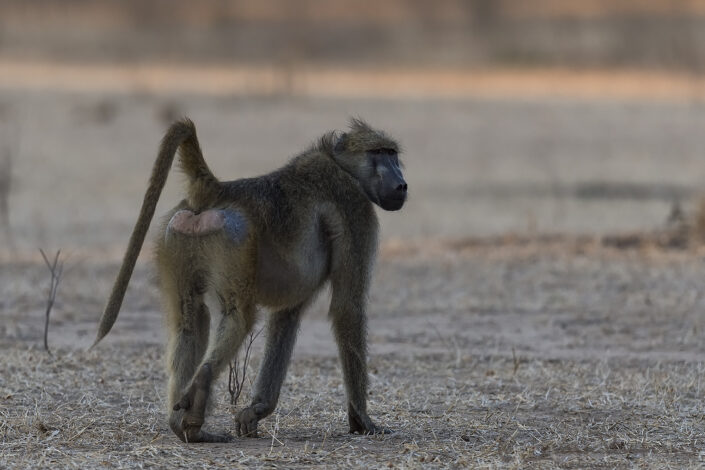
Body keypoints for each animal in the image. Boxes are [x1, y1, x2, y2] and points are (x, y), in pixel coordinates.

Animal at [92, 117, 407, 443]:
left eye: (393, 154)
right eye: (379, 152)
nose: (402, 184)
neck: (339, 163)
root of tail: (219, 189)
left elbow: (287, 313)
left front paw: (256, 410)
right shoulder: (356, 208)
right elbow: (348, 307)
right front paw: (362, 420)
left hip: (176, 234)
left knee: (189, 319)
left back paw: (185, 426)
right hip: (237, 235)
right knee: (238, 316)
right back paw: (201, 385)